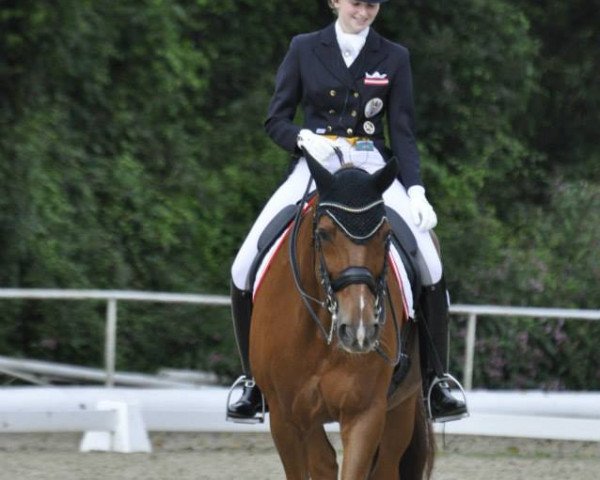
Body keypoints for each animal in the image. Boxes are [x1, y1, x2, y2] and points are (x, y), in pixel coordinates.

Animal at [251, 155, 434, 480]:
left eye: (386, 235)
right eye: (323, 233)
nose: (359, 330)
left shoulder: (365, 413)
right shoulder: (286, 419)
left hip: (401, 404)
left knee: (386, 466)